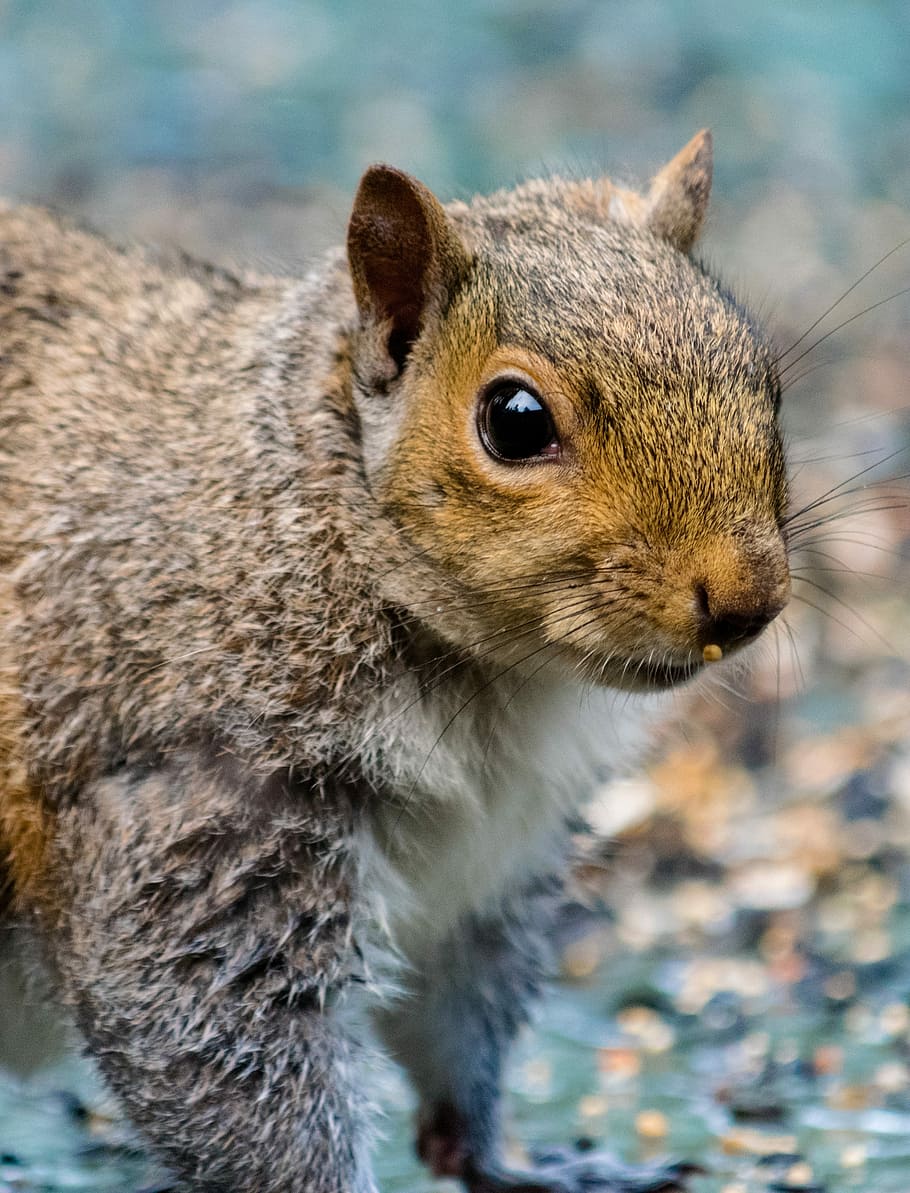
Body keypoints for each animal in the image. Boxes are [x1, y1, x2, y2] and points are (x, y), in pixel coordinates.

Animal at [0, 125, 791, 1188]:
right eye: (515, 420)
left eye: (766, 379)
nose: (750, 600)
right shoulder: (195, 806)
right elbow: (220, 1047)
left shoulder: (489, 873)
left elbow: (460, 1026)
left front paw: (509, 1158)